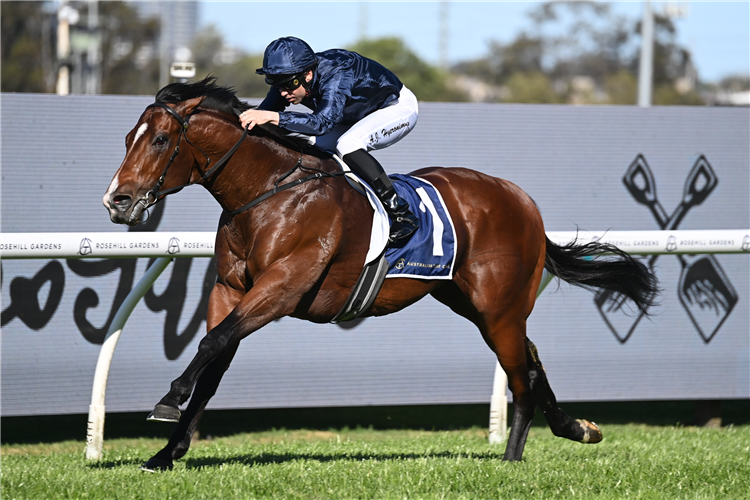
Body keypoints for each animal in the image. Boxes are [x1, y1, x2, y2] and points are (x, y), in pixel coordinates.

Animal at [101, 77, 656, 468]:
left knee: (519, 373)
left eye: (161, 140)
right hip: (474, 303)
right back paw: (576, 428)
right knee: (531, 359)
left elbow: (210, 344)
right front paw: (166, 453)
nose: (116, 200)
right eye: (127, 137)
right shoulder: (229, 289)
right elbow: (213, 364)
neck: (269, 193)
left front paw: (167, 402)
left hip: (499, 306)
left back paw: (512, 457)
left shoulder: (282, 287)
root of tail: (522, 200)